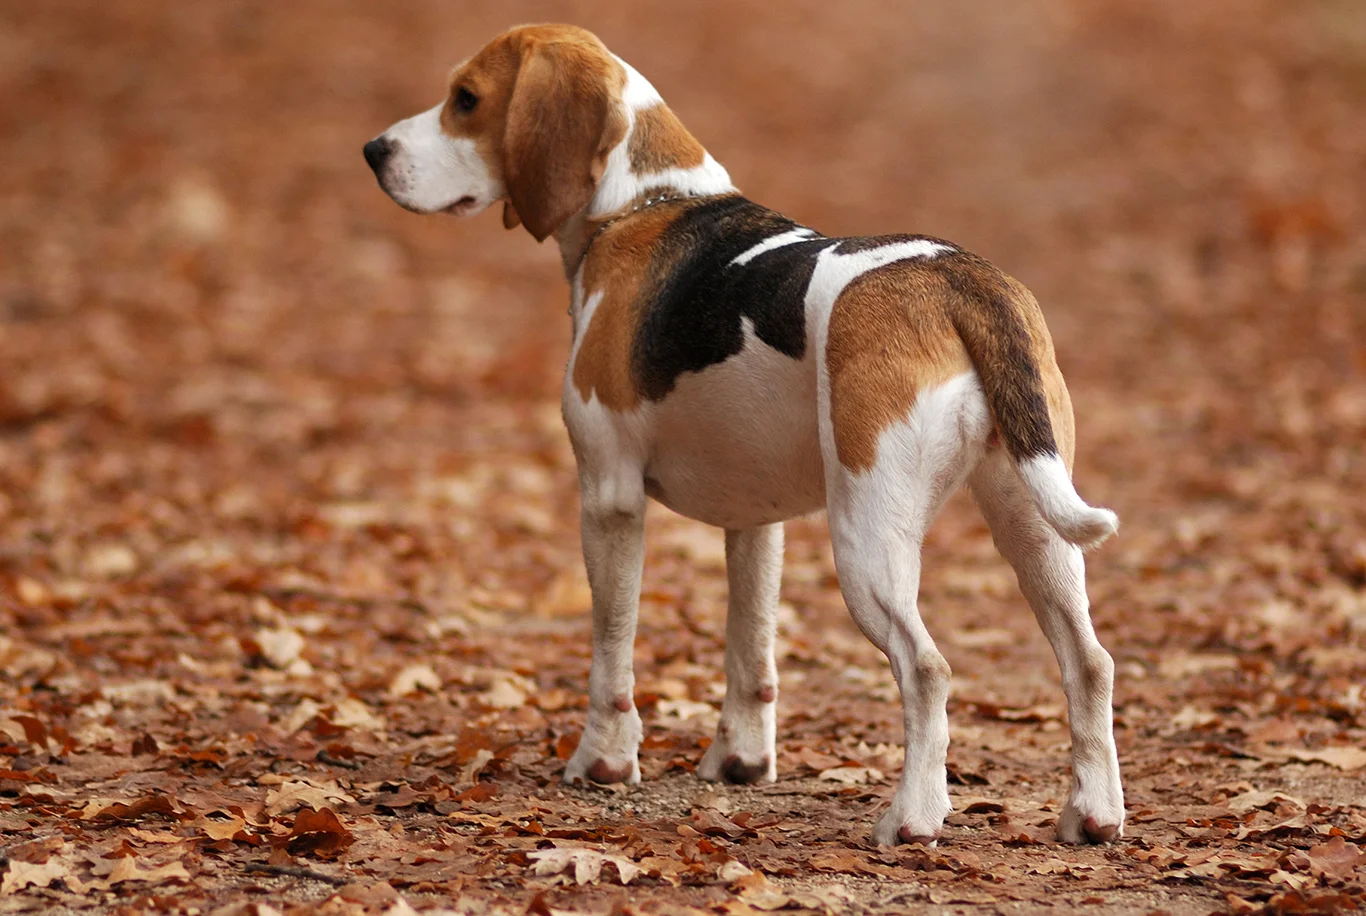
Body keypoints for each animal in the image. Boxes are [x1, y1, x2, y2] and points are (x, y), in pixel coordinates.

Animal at [363, 23, 1120, 851]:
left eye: (465, 99)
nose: (373, 150)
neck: (645, 202)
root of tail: (959, 281)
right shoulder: (756, 522)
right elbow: (749, 648)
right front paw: (741, 761)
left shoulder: (609, 497)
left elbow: (611, 648)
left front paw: (603, 760)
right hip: (1034, 526)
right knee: (1090, 662)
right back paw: (1094, 813)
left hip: (868, 539)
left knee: (929, 670)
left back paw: (913, 818)